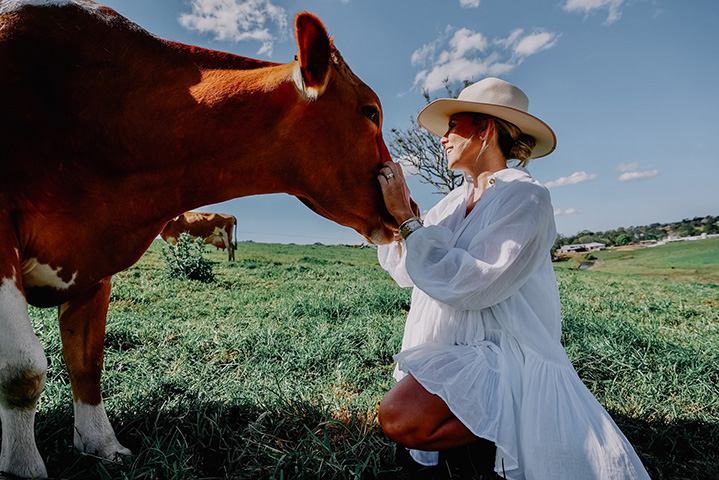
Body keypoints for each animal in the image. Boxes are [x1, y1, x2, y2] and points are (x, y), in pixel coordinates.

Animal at [0, 0, 416, 476]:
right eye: (370, 112)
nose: (411, 205)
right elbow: (22, 369)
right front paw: (26, 465)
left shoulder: (96, 261)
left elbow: (87, 361)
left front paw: (102, 445)